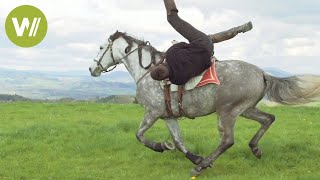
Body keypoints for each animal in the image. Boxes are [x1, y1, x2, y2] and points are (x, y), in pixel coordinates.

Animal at [88, 30, 320, 176]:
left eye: (100, 47)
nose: (92, 69)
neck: (147, 71)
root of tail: (262, 73)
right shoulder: (168, 116)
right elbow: (179, 142)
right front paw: (193, 157)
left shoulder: (152, 113)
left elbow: (140, 135)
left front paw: (160, 147)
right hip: (245, 109)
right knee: (268, 118)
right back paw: (254, 149)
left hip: (227, 112)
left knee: (227, 140)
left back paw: (202, 167)